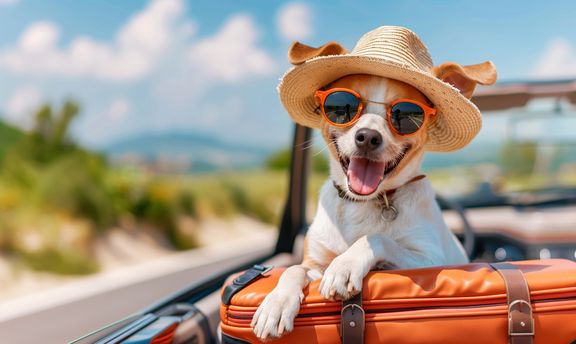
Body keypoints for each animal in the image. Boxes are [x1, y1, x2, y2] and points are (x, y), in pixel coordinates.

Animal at [250, 26, 498, 338]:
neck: (362, 203)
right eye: (341, 106)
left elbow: (378, 238)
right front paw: (276, 303)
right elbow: (293, 269)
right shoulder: (314, 262)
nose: (368, 137)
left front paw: (345, 265)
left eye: (407, 114)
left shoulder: (430, 260)